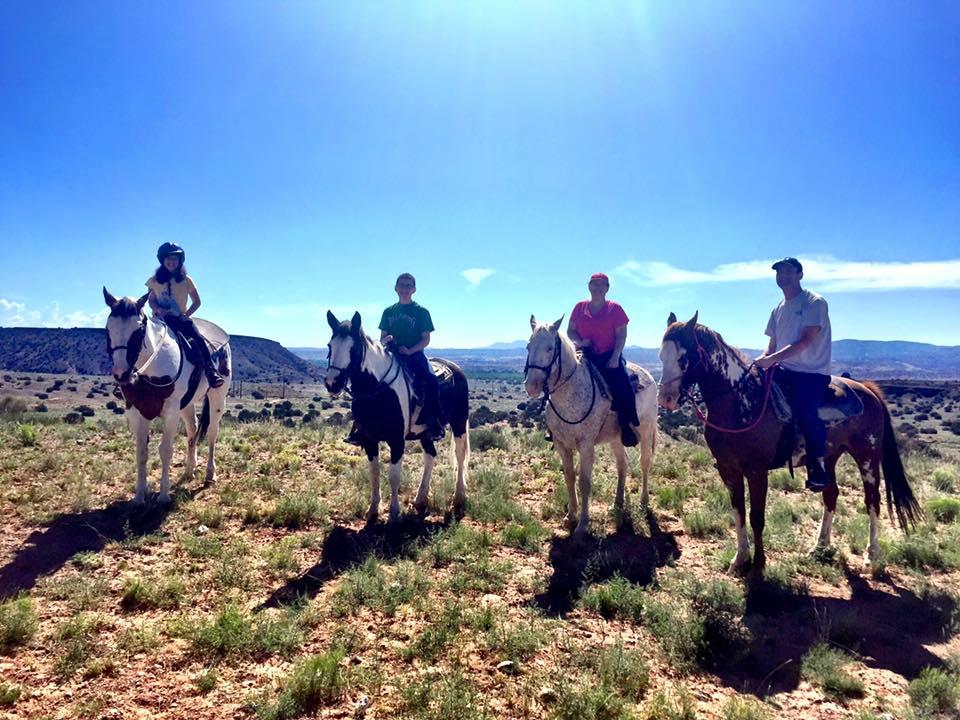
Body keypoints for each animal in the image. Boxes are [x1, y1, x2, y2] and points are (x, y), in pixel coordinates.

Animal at [104, 288, 232, 506]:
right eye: (108, 329)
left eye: (139, 330)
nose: (121, 374)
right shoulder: (135, 410)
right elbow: (141, 452)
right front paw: (139, 496)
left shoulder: (171, 410)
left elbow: (165, 450)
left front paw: (163, 495)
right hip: (187, 404)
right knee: (193, 429)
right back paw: (190, 470)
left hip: (217, 397)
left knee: (212, 433)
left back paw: (209, 474)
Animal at [324, 310, 470, 524]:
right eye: (329, 346)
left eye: (353, 348)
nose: (332, 383)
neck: (378, 390)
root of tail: (455, 367)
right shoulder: (369, 439)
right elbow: (374, 473)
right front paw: (373, 510)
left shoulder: (397, 441)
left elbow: (394, 476)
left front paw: (394, 513)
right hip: (426, 432)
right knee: (430, 455)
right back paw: (420, 499)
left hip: (459, 422)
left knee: (459, 455)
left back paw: (458, 497)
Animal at [524, 316, 660, 536]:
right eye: (529, 346)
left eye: (550, 348)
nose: (531, 386)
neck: (570, 392)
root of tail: (649, 376)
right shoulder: (562, 445)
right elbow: (569, 477)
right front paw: (570, 516)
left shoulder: (586, 446)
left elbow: (584, 483)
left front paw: (582, 525)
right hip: (617, 438)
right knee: (622, 464)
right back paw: (617, 503)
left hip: (646, 431)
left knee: (645, 463)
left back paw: (643, 502)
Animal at [656, 310, 920, 572]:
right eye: (661, 355)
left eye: (683, 358)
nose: (665, 399)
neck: (740, 401)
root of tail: (866, 389)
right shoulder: (727, 469)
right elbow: (738, 512)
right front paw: (739, 559)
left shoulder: (757, 471)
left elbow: (756, 517)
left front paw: (759, 563)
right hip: (829, 456)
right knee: (831, 494)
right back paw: (820, 546)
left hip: (867, 456)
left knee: (872, 501)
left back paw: (871, 554)